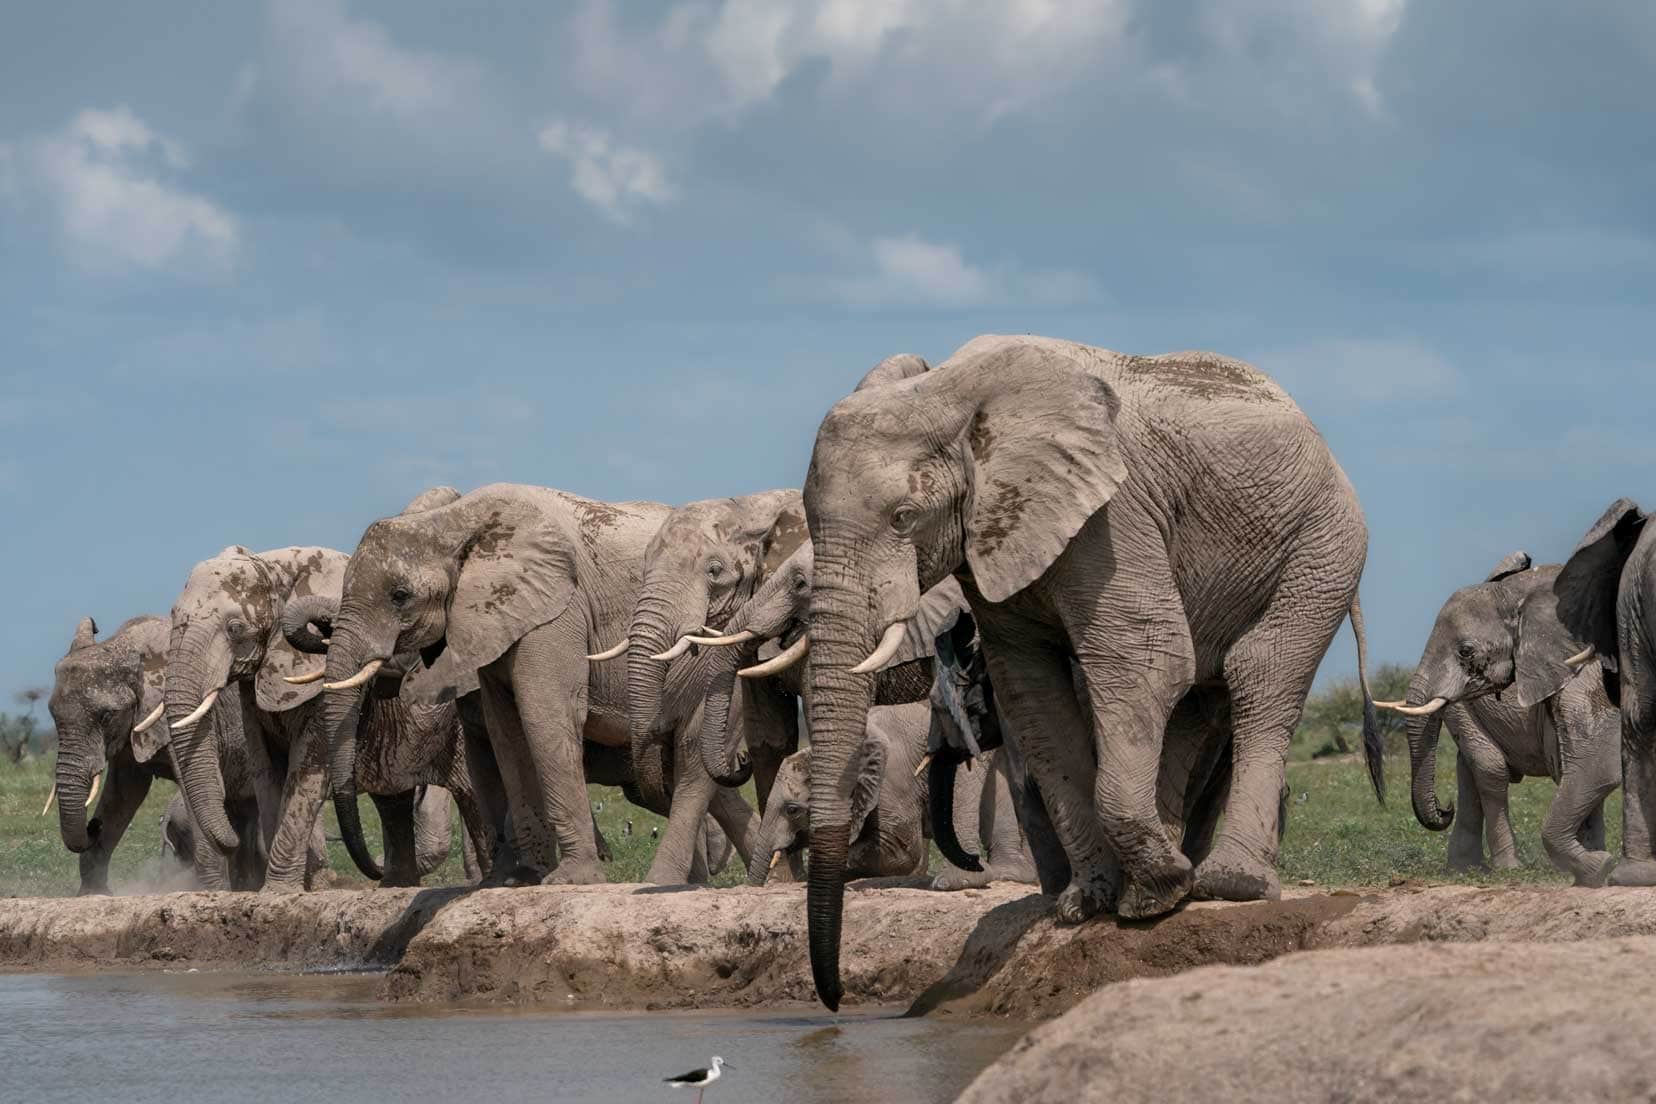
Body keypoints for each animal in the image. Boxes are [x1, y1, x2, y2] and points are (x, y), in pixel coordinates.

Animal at [46, 619, 268, 893]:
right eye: (53, 715)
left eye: (106, 717)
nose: (93, 825)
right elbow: (123, 793)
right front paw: (93, 895)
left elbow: (194, 788)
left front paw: (212, 892)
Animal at [317, 483, 758, 887]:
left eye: (400, 596)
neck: (456, 521)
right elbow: (506, 732)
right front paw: (518, 880)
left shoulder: (557, 610)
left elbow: (545, 714)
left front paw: (571, 880)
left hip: (725, 664)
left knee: (695, 759)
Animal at [798, 337, 1371, 1012]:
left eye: (903, 517)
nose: (834, 1002)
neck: (954, 395)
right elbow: (1031, 692)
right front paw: (1089, 904)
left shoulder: (1112, 517)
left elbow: (1146, 657)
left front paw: (1157, 892)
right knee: (1199, 701)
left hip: (1325, 546)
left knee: (1260, 674)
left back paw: (1228, 883)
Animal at [1371, 552, 1616, 887]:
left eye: (1465, 651)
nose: (1443, 808)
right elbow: (1584, 765)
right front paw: (1597, 864)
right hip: (1463, 706)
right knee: (1490, 770)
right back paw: (1501, 868)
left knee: (1470, 770)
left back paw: (1468, 868)